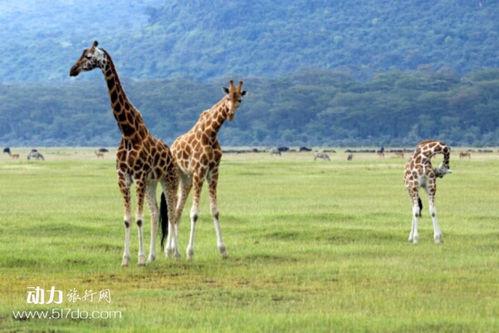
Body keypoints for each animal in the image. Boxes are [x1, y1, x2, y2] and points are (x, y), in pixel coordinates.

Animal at [69, 41, 180, 264]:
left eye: (88, 56)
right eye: (82, 54)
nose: (72, 70)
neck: (128, 132)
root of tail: (170, 152)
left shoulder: (138, 177)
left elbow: (138, 219)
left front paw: (139, 258)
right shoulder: (123, 178)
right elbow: (128, 220)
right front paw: (127, 259)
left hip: (168, 178)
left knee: (172, 213)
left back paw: (175, 253)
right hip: (152, 182)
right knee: (156, 212)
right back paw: (153, 256)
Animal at [171, 80, 247, 260]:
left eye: (240, 100)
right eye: (227, 97)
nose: (231, 114)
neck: (211, 134)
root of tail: (171, 147)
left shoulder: (213, 172)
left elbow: (215, 211)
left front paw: (223, 250)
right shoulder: (199, 171)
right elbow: (194, 213)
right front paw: (190, 252)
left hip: (186, 180)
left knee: (177, 212)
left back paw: (171, 251)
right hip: (176, 176)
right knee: (173, 210)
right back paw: (172, 250)